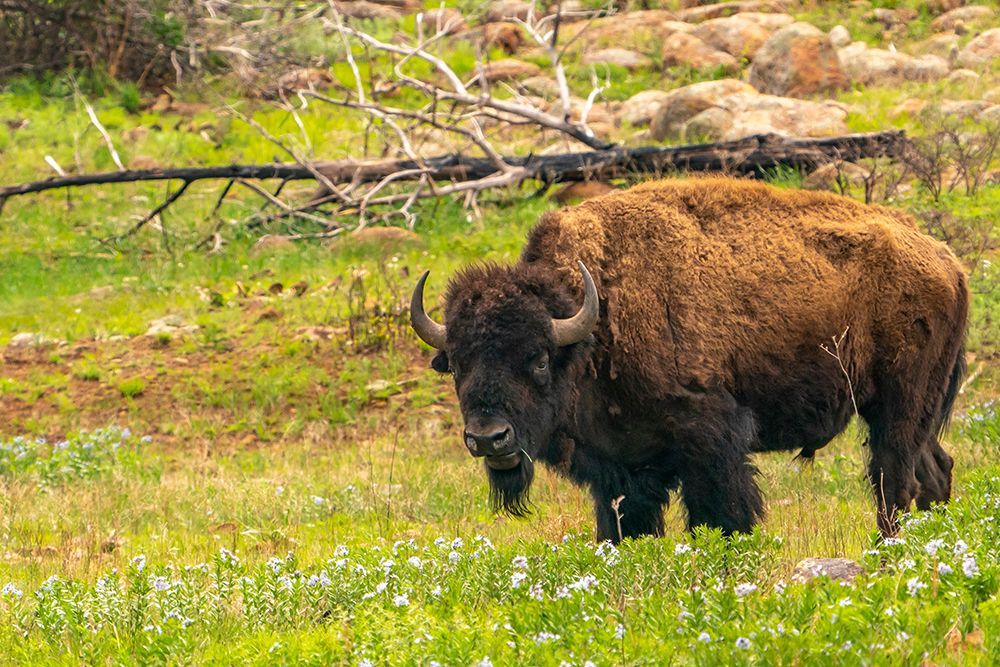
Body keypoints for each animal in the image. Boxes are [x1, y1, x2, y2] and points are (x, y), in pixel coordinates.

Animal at [410, 177, 969, 542]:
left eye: (540, 359)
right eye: (457, 363)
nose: (489, 438)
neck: (596, 319)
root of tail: (946, 260)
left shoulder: (712, 443)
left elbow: (722, 517)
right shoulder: (621, 470)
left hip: (898, 408)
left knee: (895, 480)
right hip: (917, 412)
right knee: (934, 471)